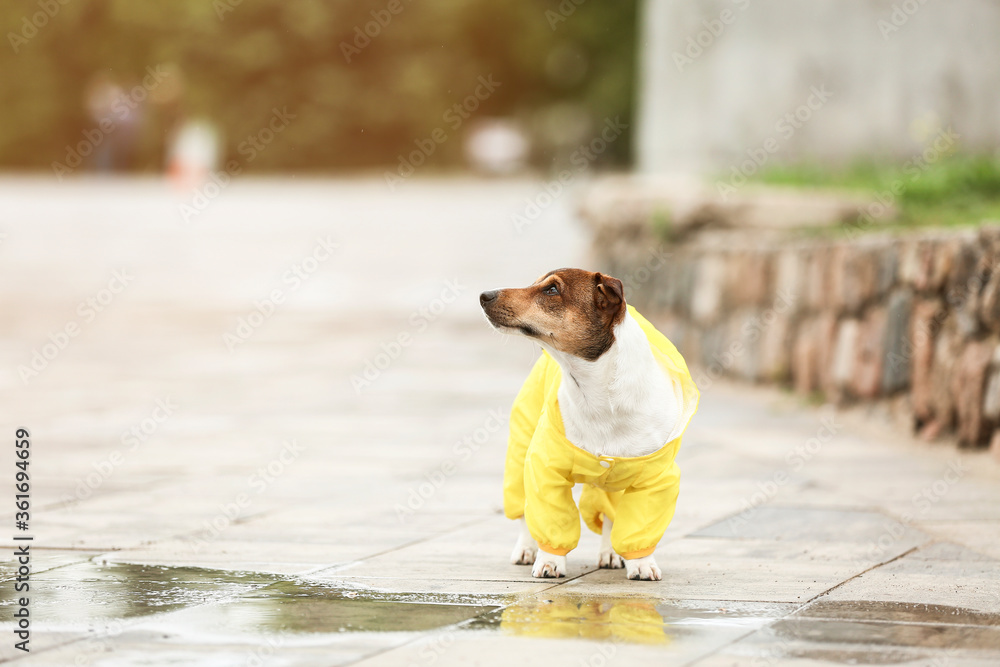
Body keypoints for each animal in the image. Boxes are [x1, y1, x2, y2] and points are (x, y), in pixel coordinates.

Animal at [480, 268, 700, 580]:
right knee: (521, 505)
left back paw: (610, 553)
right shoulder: (544, 468)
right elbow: (549, 516)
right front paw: (549, 561)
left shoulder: (655, 480)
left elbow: (637, 524)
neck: (597, 393)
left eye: (551, 290)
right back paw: (526, 549)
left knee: (609, 513)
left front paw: (641, 563)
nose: (484, 295)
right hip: (521, 445)